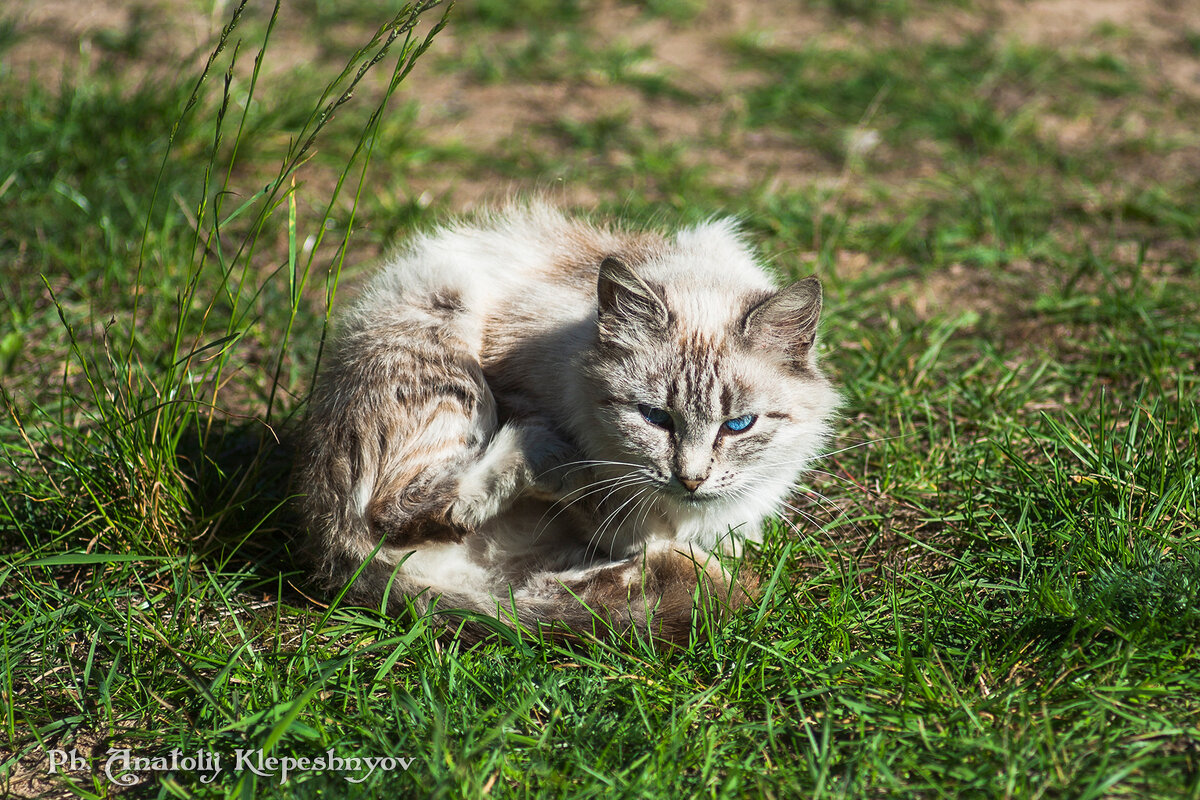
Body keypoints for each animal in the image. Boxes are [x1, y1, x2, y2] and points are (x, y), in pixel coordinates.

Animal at [298, 203, 840, 642]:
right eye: (655, 418)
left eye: (738, 425)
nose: (690, 479)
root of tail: (331, 550)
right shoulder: (515, 384)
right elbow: (603, 506)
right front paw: (600, 495)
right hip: (445, 318)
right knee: (404, 509)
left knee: (549, 597)